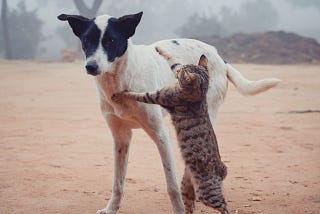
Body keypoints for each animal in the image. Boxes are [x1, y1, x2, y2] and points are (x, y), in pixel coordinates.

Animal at [111, 48, 229, 214]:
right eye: (181, 71)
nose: (179, 73)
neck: (200, 95)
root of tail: (222, 169)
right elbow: (173, 61)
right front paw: (160, 51)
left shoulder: (158, 96)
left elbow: (137, 94)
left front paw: (122, 94)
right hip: (187, 188)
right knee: (190, 205)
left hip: (207, 193)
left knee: (224, 205)